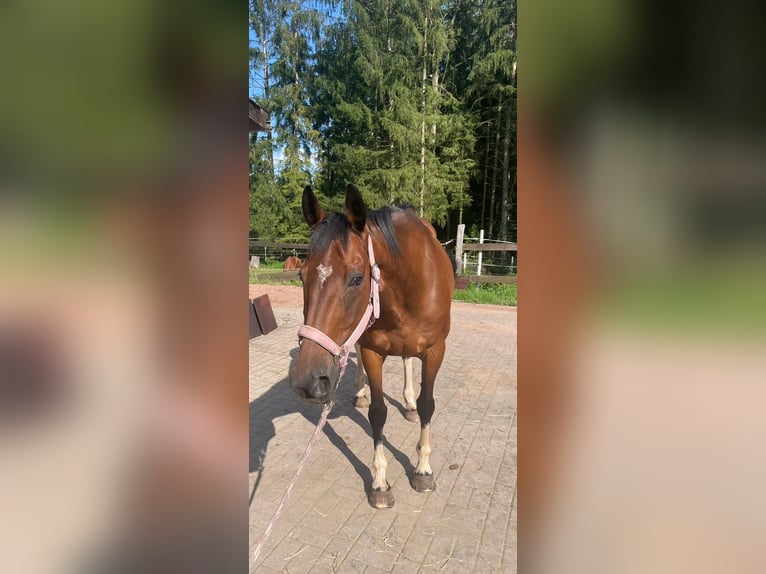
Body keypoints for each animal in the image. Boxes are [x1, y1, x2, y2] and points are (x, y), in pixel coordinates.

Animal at [290, 183, 455, 508]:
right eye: (302, 275)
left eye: (357, 279)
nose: (307, 381)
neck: (411, 282)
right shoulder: (371, 351)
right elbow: (377, 413)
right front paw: (379, 483)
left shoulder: (435, 351)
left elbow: (428, 405)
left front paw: (423, 470)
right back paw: (361, 393)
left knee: (407, 361)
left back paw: (408, 403)